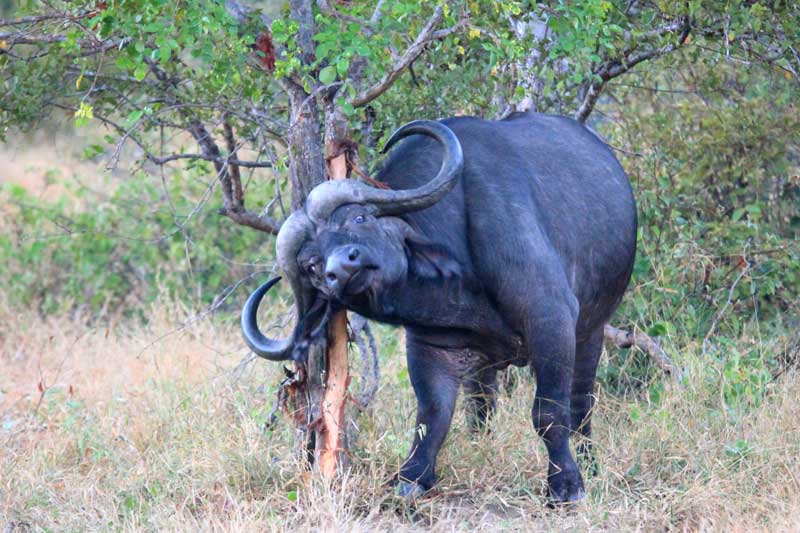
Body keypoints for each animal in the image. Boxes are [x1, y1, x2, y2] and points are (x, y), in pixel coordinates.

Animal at [241, 112, 637, 504]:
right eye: (311, 264)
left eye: (359, 218)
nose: (342, 267)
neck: (461, 281)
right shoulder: (432, 347)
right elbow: (433, 416)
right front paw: (410, 479)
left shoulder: (551, 320)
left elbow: (550, 412)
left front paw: (566, 485)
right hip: (486, 367)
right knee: (481, 406)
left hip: (592, 331)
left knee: (581, 404)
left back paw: (590, 464)